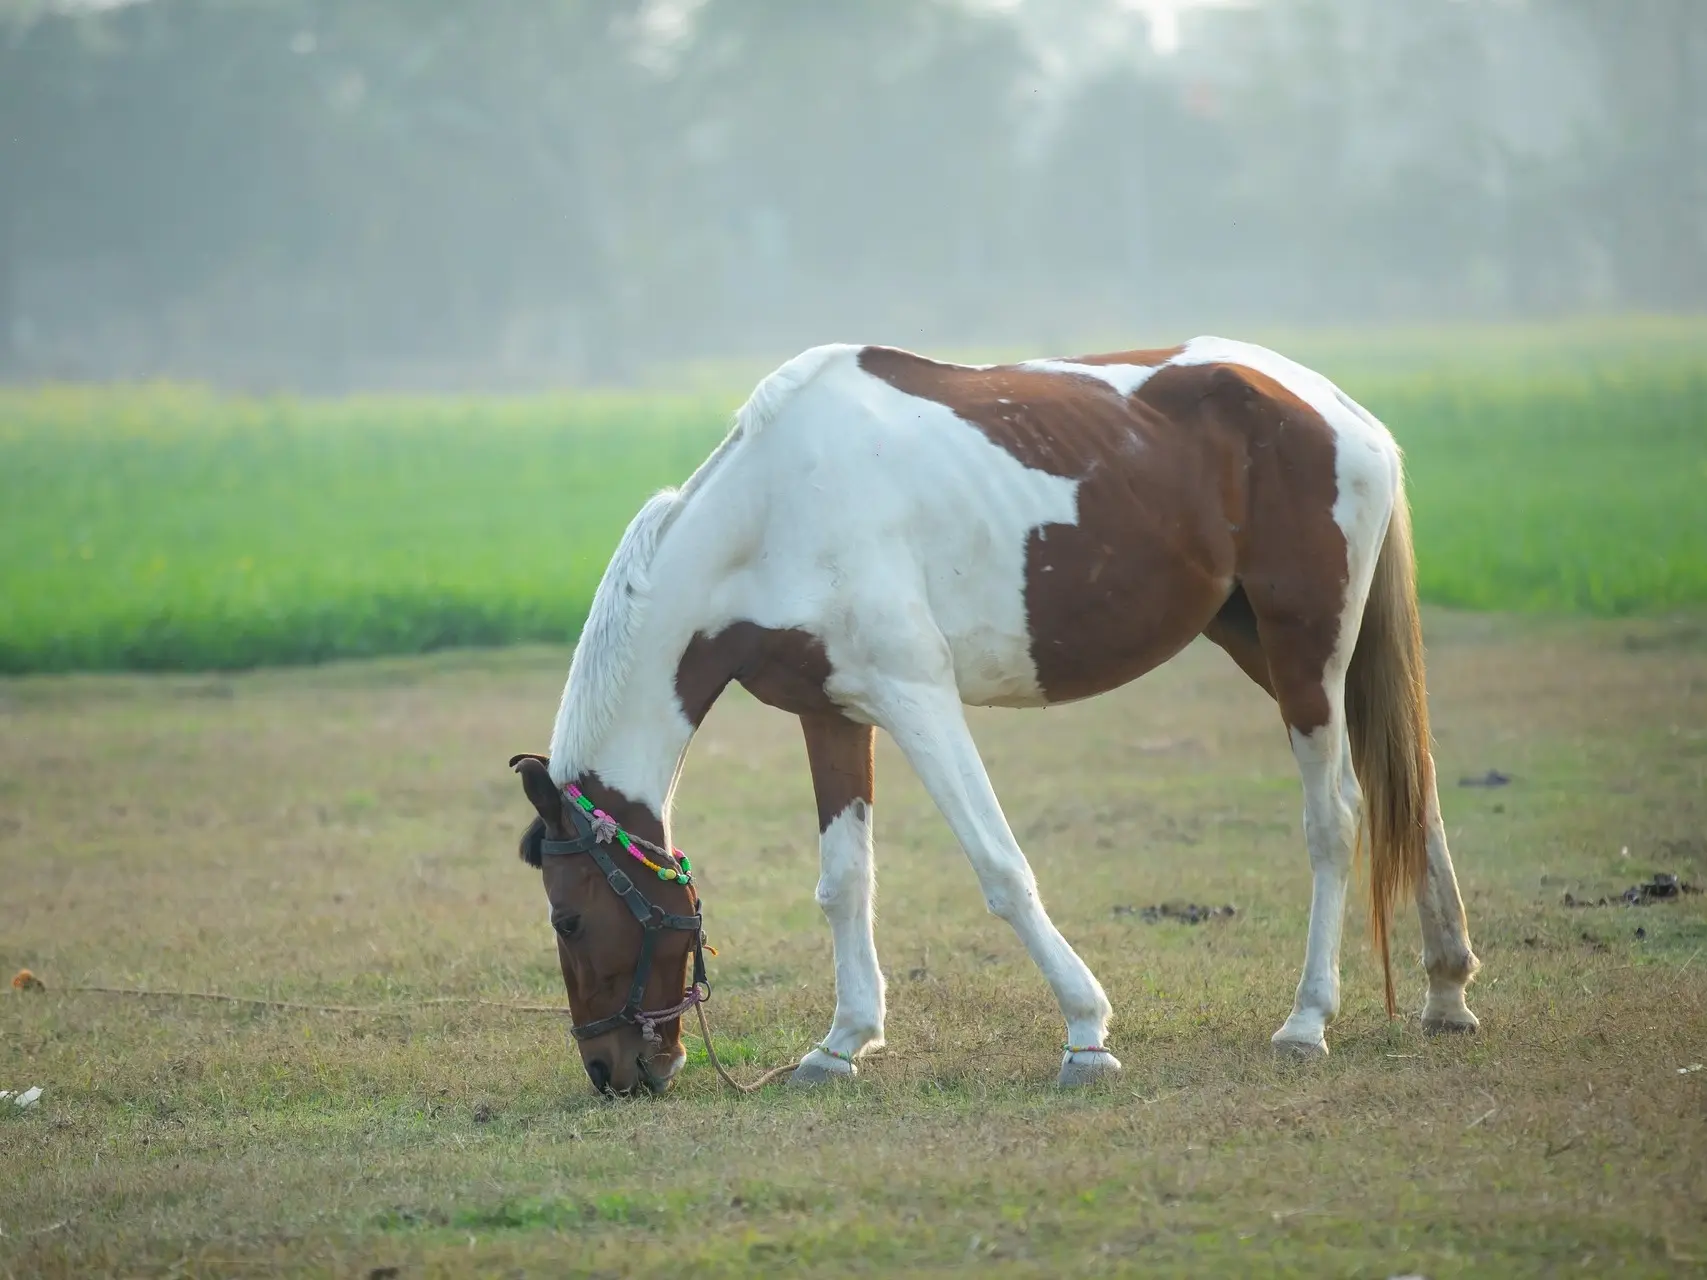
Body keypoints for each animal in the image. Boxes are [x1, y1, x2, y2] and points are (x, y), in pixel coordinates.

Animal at [505, 341, 1481, 1105]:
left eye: (568, 920)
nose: (610, 1070)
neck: (773, 514)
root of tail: (1334, 407)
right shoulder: (831, 715)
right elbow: (843, 882)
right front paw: (841, 1043)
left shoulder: (918, 699)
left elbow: (1000, 870)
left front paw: (1085, 1031)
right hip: (1262, 642)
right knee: (1412, 790)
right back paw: (1446, 991)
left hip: (1304, 648)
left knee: (1337, 816)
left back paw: (1307, 1021)